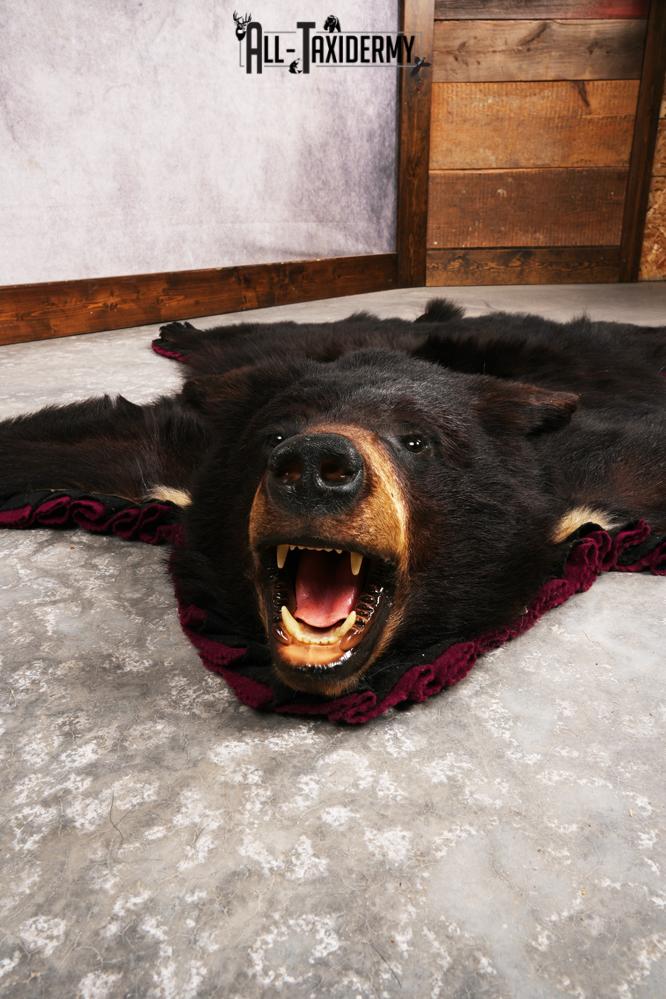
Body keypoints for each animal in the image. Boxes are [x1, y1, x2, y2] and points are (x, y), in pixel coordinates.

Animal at [0, 299, 664, 704]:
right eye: (273, 436)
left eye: (416, 440)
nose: (317, 468)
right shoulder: (193, 454)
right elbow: (100, 442)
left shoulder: (587, 471)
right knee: (269, 336)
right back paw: (184, 331)